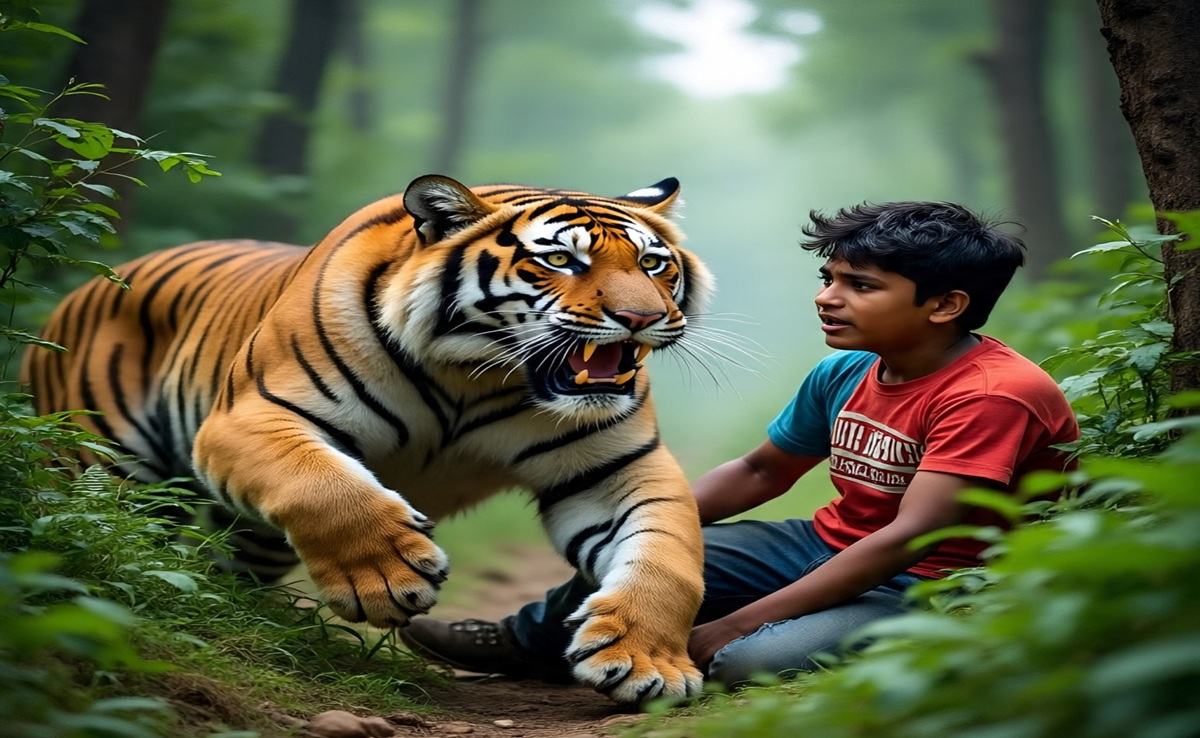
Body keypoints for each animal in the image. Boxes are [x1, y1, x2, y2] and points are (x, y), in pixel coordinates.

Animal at [22, 174, 713, 703]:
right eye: (560, 260)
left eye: (653, 264)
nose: (643, 318)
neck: (476, 377)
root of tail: (90, 283)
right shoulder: (250, 416)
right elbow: (323, 486)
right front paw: (388, 577)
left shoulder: (620, 470)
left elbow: (669, 561)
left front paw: (646, 662)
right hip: (101, 466)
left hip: (249, 533)